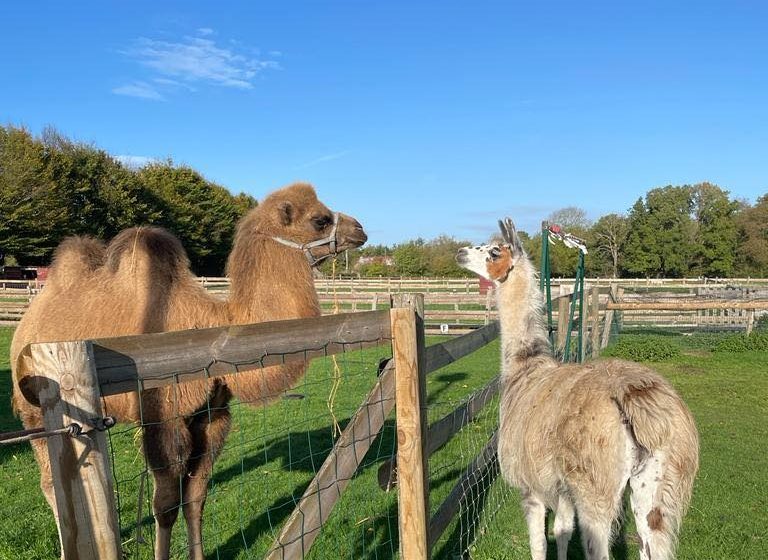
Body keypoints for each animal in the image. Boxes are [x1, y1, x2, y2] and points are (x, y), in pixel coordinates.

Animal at [9, 182, 368, 556]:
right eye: (319, 220)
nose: (360, 229)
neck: (213, 328)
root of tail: (30, 317)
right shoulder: (165, 417)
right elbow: (165, 505)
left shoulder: (212, 416)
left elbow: (196, 499)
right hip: (34, 408)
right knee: (50, 482)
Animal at [456, 218, 704, 560]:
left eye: (494, 251)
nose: (460, 253)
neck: (525, 369)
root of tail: (634, 399)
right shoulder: (562, 488)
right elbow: (562, 531)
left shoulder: (531, 484)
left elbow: (538, 543)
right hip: (660, 481)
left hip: (595, 482)